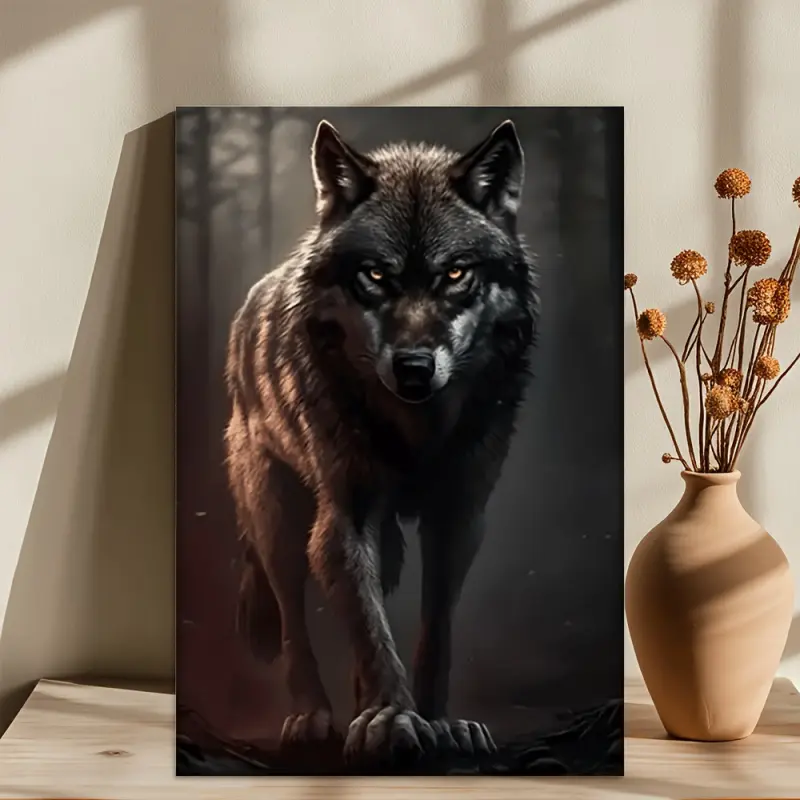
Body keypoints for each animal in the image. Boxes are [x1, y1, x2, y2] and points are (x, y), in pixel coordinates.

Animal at [224, 117, 539, 764]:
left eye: (455, 273)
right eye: (375, 275)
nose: (414, 368)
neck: (417, 435)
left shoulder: (458, 517)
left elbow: (432, 630)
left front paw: (437, 722)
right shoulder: (346, 515)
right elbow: (370, 631)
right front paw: (394, 719)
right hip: (277, 519)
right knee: (294, 618)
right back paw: (314, 716)